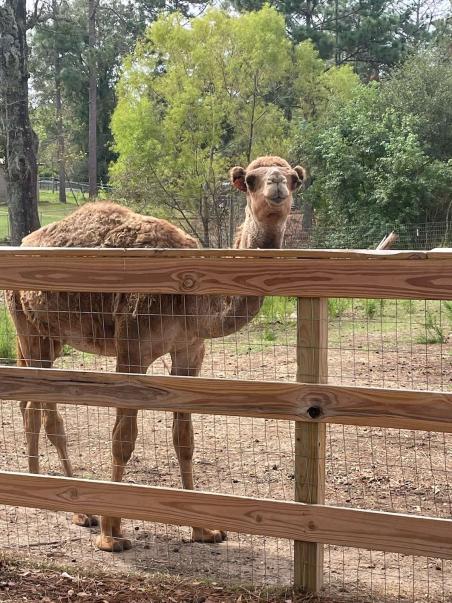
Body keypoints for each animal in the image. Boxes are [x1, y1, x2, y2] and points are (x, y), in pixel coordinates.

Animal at [6, 155, 308, 552]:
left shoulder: (189, 351)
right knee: (45, 412)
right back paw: (77, 510)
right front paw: (111, 533)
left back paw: (41, 482)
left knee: (30, 404)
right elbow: (123, 439)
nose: (276, 187)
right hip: (31, 331)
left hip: (48, 339)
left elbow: (185, 439)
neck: (191, 300)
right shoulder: (132, 349)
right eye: (251, 179)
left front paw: (204, 530)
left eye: (293, 178)